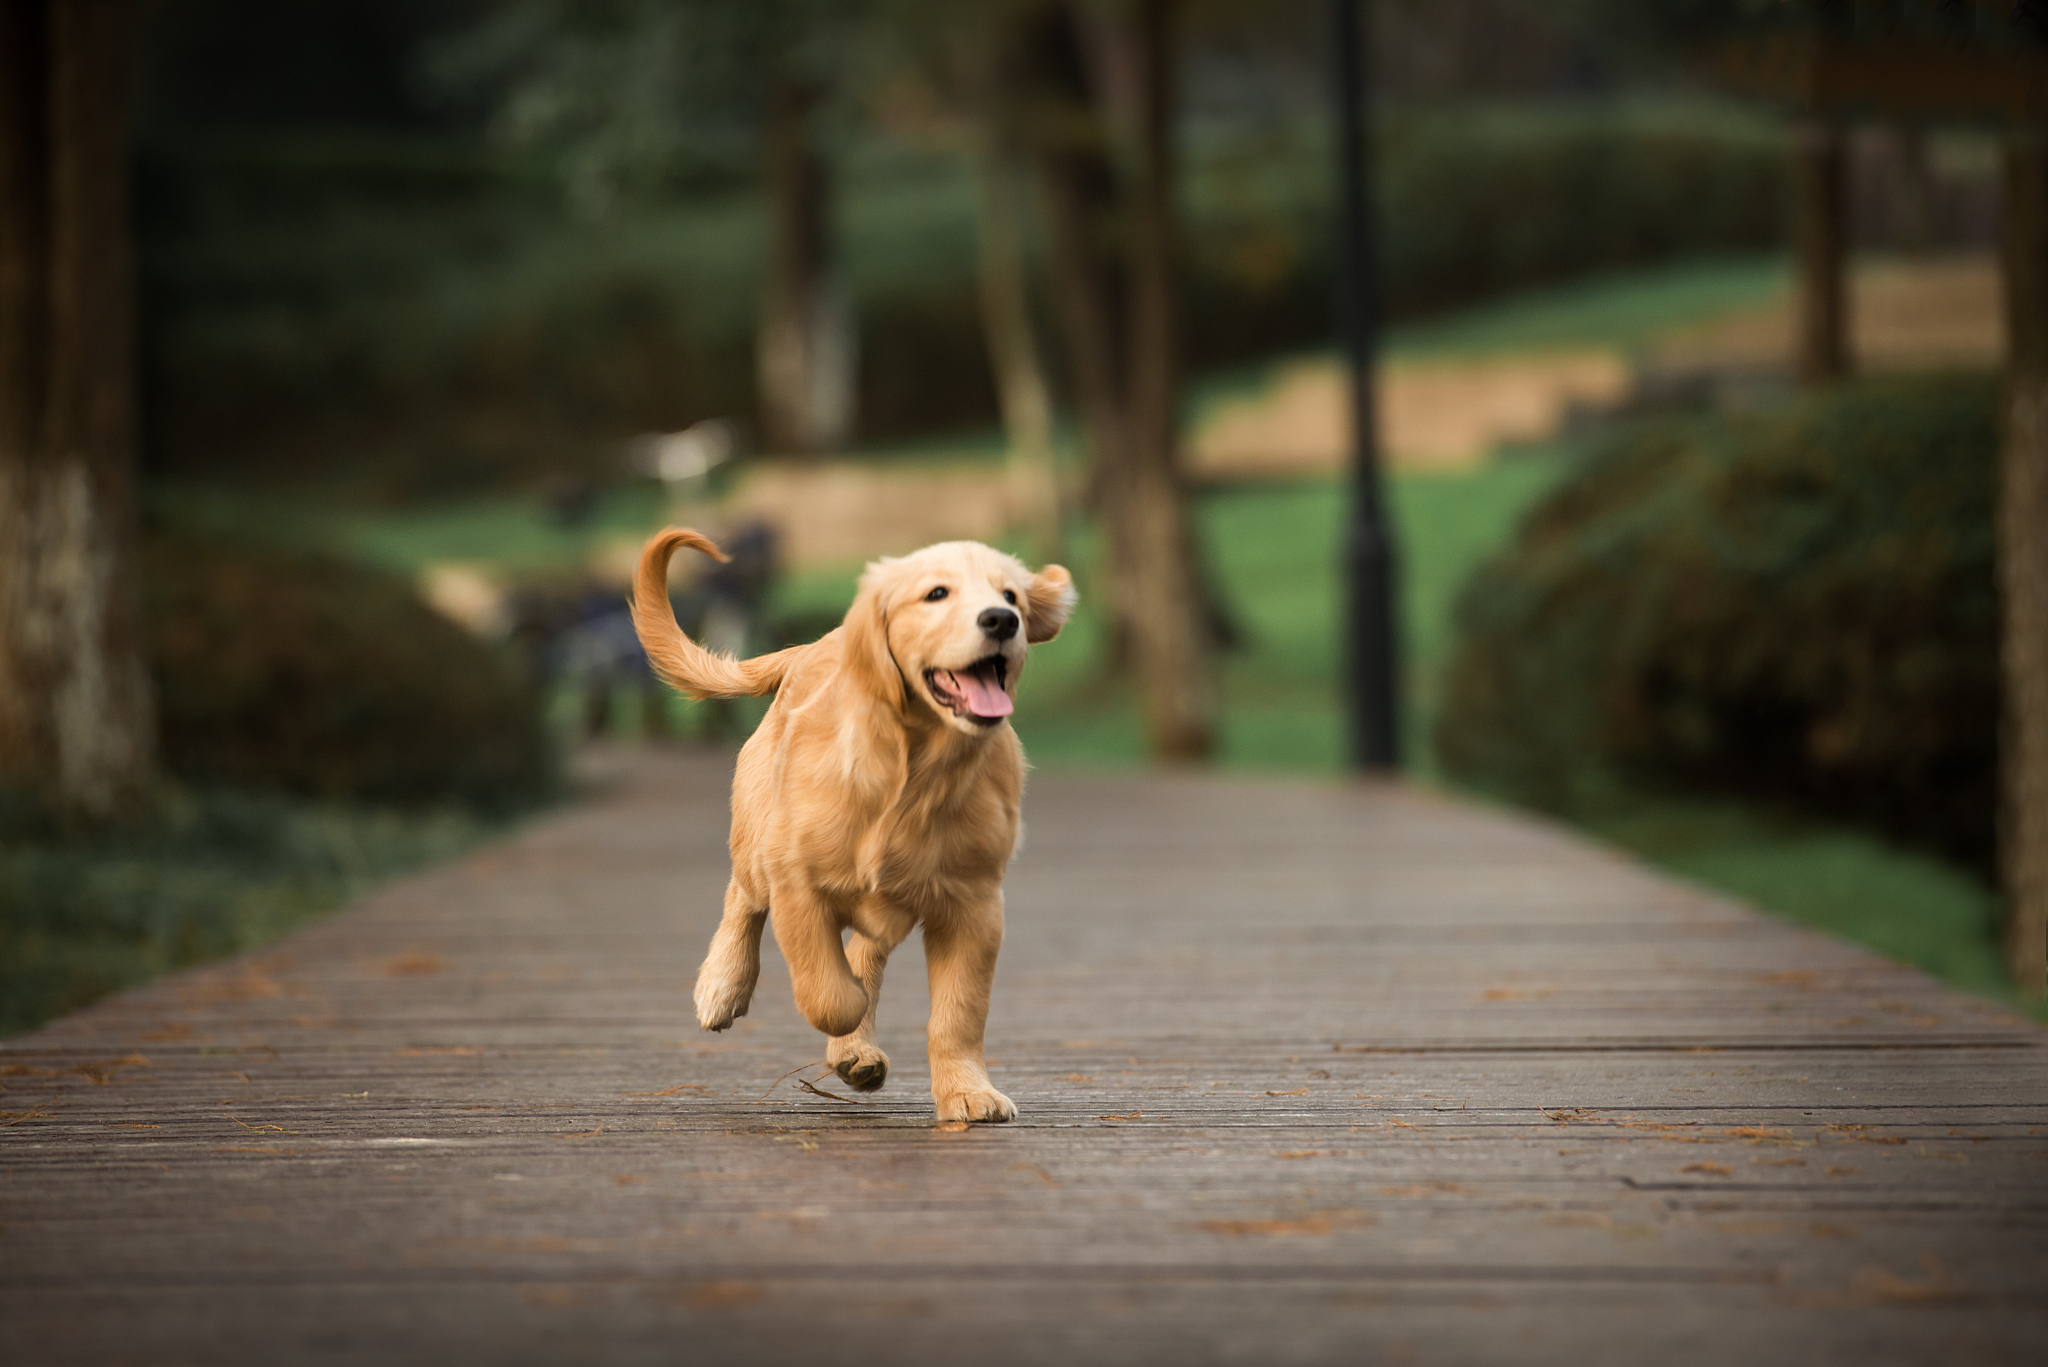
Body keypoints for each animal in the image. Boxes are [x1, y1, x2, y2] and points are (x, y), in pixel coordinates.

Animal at [630, 528, 1081, 1123]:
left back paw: (856, 1050)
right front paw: (848, 1029)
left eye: (1011, 597)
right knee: (743, 899)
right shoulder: (796, 881)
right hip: (757, 837)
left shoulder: (975, 905)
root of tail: (807, 646)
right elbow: (828, 992)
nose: (1002, 621)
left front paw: (967, 1092)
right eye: (936, 594)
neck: (918, 770)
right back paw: (722, 988)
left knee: (864, 950)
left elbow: (958, 1012)